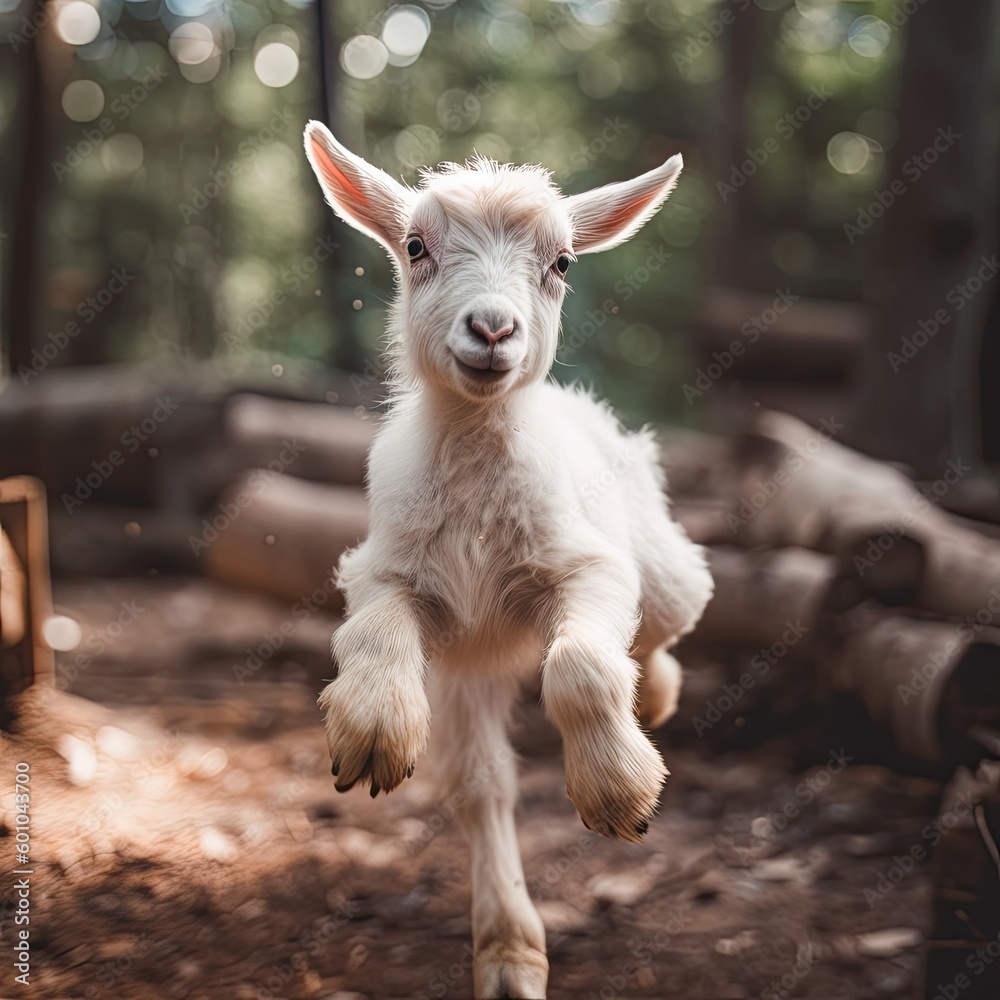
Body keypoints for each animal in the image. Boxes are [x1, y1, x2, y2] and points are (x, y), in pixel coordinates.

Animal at [304, 121, 713, 999]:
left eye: (561, 264)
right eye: (415, 246)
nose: (492, 330)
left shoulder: (589, 566)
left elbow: (582, 669)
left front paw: (619, 790)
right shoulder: (388, 575)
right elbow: (376, 641)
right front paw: (372, 729)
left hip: (664, 571)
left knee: (668, 617)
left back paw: (658, 694)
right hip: (472, 667)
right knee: (482, 782)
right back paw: (508, 950)